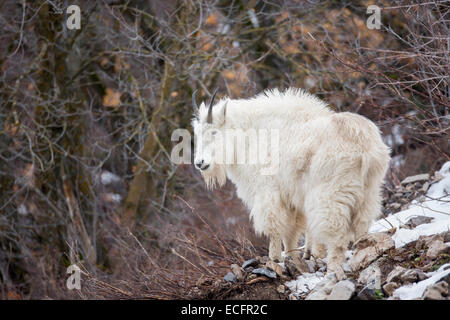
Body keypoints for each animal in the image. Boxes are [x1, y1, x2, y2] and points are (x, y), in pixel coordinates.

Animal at [190, 87, 390, 278]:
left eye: (214, 132)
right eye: (197, 133)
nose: (200, 163)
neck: (251, 136)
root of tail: (363, 147)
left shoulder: (269, 192)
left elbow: (275, 227)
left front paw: (275, 258)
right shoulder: (294, 197)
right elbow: (293, 229)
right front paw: (297, 255)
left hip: (330, 194)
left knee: (336, 234)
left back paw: (333, 268)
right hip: (369, 192)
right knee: (361, 228)